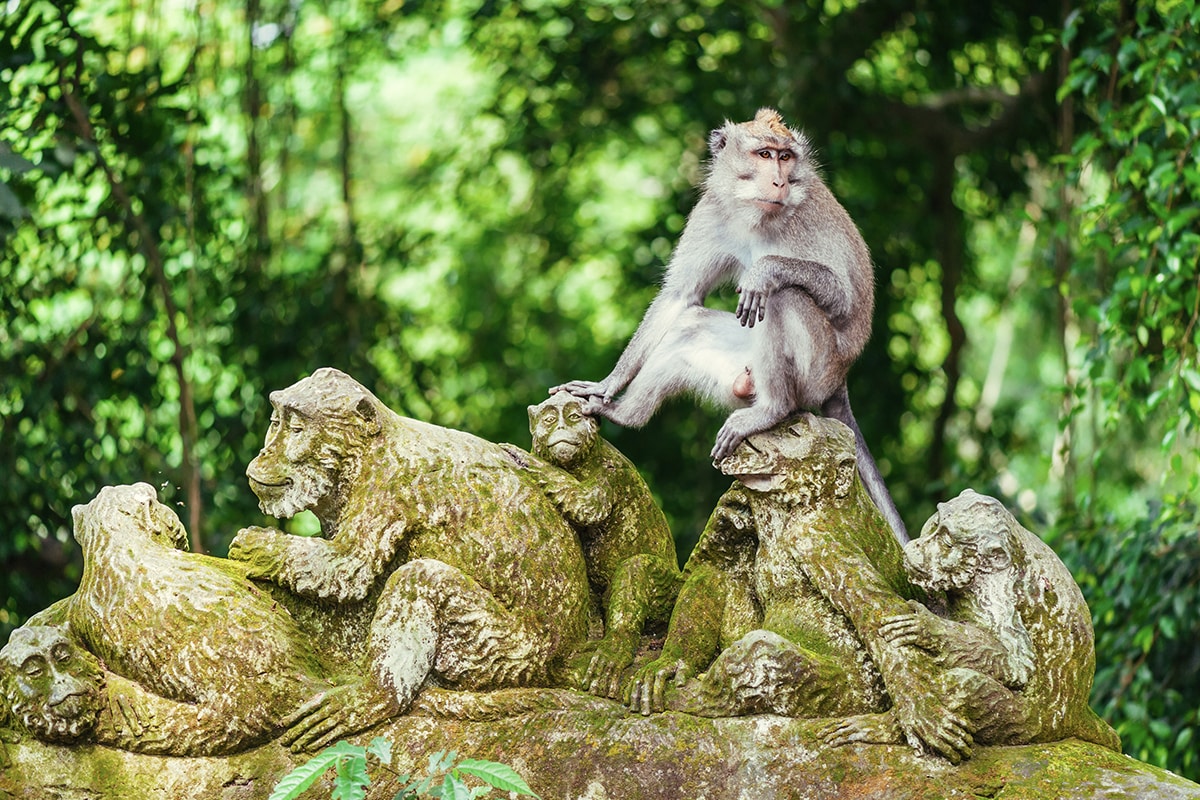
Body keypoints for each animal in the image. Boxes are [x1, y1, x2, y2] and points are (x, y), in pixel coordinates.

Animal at [552, 108, 907, 545]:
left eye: (786, 157)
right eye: (765, 154)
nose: (779, 180)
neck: (757, 214)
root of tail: (840, 381)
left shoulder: (807, 219)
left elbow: (843, 299)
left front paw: (765, 270)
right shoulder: (711, 213)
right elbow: (680, 297)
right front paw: (607, 384)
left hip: (817, 372)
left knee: (784, 298)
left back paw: (772, 408)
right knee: (689, 325)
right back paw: (625, 414)